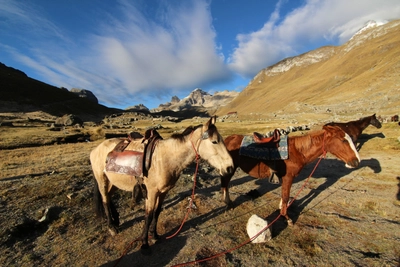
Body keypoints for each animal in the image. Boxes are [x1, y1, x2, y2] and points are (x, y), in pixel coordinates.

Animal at [90, 117, 234, 251]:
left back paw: (116, 220)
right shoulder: (152, 192)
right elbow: (148, 216)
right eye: (214, 141)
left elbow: (157, 212)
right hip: (102, 180)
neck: (166, 159)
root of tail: (95, 149)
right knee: (105, 200)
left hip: (113, 182)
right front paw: (144, 243)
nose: (230, 168)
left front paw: (154, 235)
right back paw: (112, 227)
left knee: (109, 197)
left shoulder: (164, 192)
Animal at [220, 125, 360, 226]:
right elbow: (286, 196)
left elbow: (284, 195)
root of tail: (227, 139)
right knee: (225, 183)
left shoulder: (285, 178)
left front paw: (282, 210)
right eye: (343, 140)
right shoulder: (288, 177)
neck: (298, 152)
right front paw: (286, 218)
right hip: (230, 168)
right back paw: (228, 203)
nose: (356, 161)